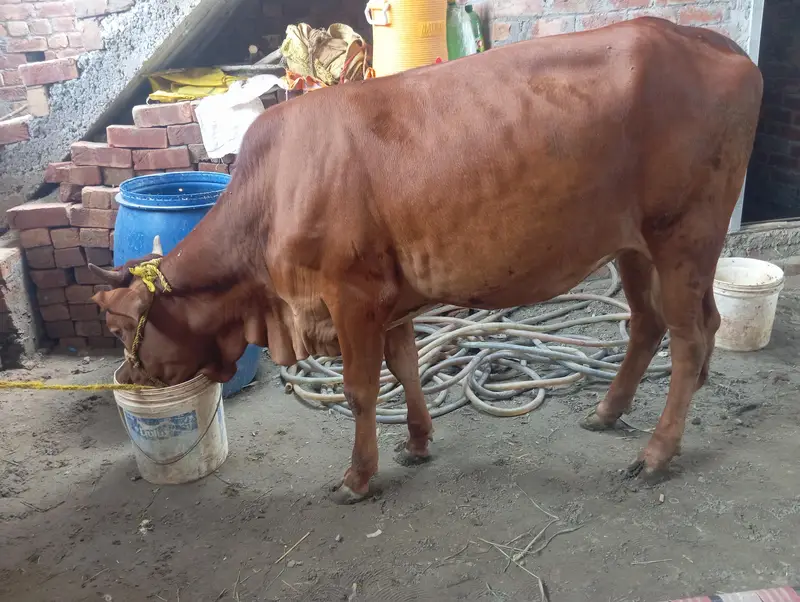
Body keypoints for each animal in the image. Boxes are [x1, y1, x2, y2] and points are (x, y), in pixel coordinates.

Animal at [90, 17, 763, 505]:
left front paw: (358, 477)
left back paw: (656, 452)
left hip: (683, 235)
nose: (126, 378)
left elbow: (362, 389)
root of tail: (707, 39)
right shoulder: (390, 298)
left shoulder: (351, 294)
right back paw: (607, 412)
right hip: (632, 245)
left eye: (121, 328)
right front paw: (417, 441)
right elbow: (406, 367)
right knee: (650, 325)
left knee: (689, 337)